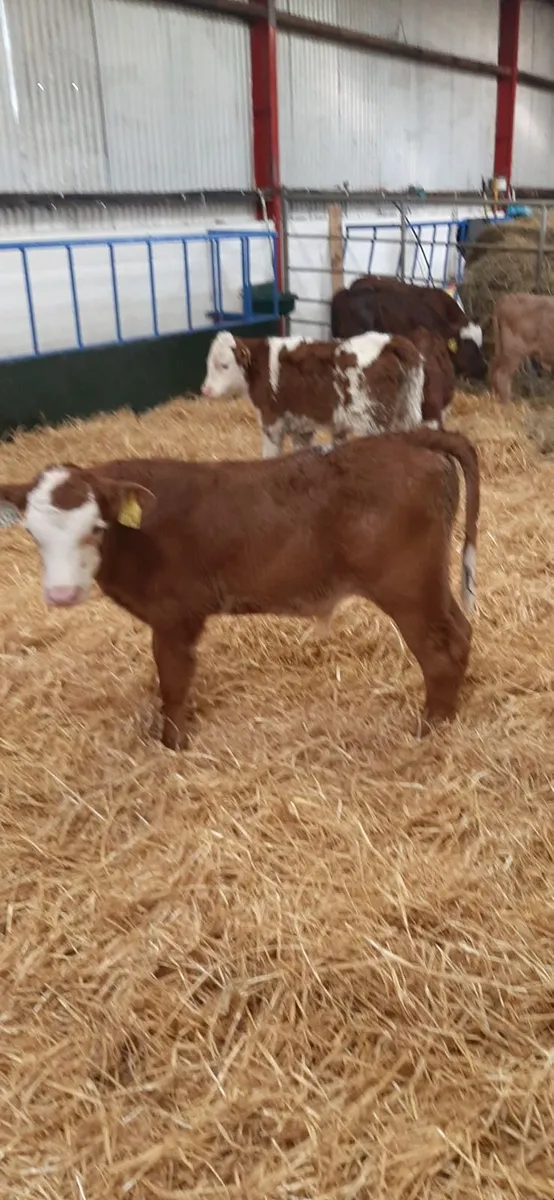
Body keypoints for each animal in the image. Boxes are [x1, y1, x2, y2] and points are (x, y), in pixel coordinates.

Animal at [0, 427, 479, 751]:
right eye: (33, 533)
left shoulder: (175, 614)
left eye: (96, 528)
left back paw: (430, 728)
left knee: (440, 651)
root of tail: (405, 438)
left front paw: (173, 743)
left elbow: (173, 681)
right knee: (461, 631)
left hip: (408, 588)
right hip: (429, 584)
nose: (61, 594)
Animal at [201, 329, 425, 457]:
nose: (206, 390)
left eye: (224, 365)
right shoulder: (302, 425)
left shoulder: (272, 423)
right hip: (406, 416)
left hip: (372, 422)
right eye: (208, 363)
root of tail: (389, 341)